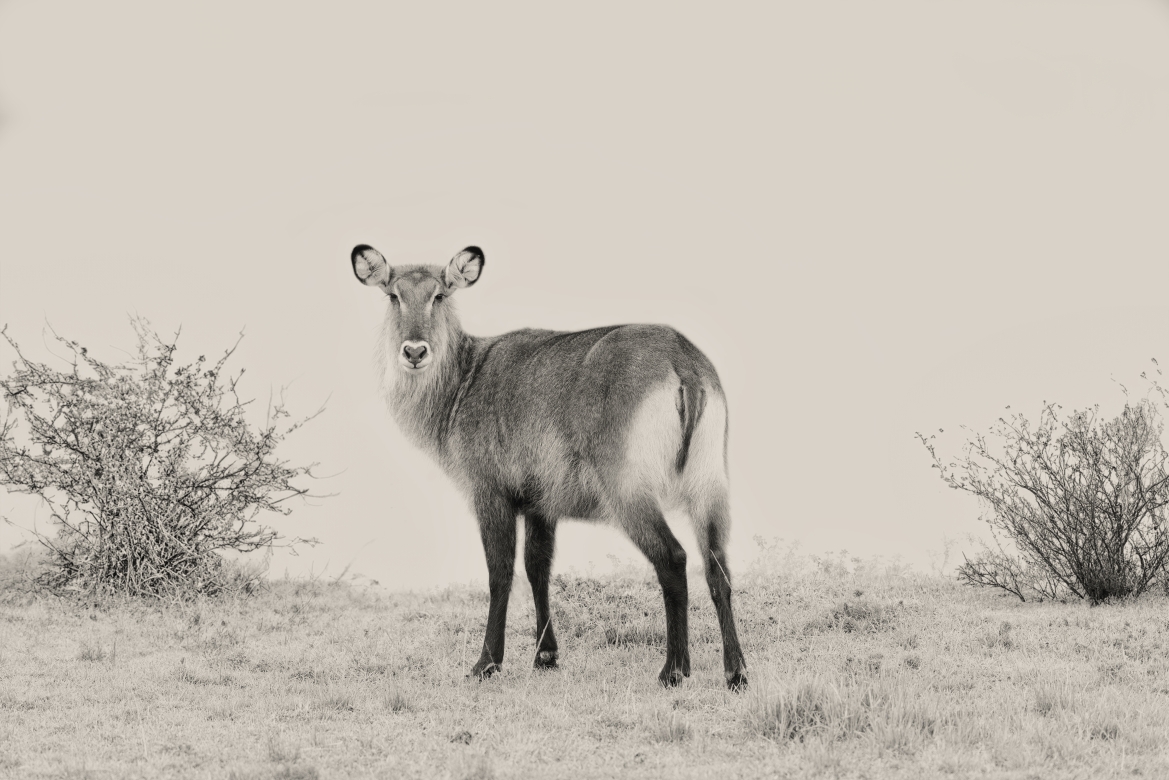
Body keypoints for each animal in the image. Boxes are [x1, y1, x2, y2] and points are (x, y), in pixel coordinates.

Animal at [348, 244, 748, 687]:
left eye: (440, 295)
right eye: (393, 295)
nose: (415, 351)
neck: (463, 382)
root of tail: (682, 362)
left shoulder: (490, 492)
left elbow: (500, 572)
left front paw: (487, 662)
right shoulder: (541, 503)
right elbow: (538, 567)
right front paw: (546, 654)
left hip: (628, 490)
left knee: (673, 559)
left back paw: (674, 670)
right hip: (710, 481)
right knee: (718, 568)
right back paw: (736, 672)